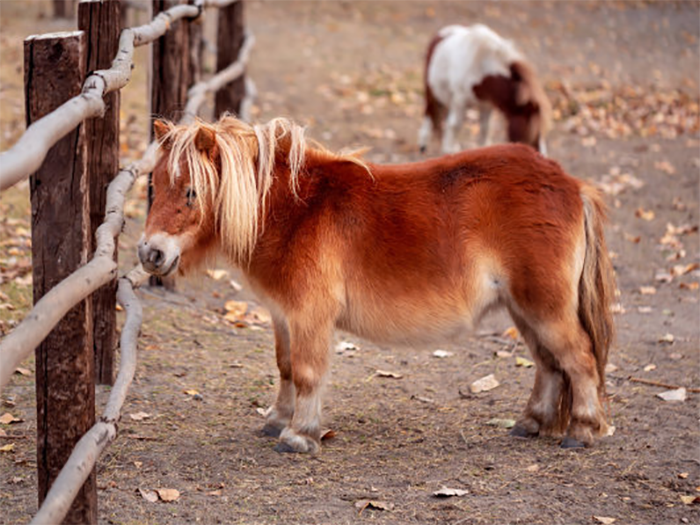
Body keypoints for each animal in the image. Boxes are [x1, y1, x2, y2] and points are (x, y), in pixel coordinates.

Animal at [139, 116, 616, 452]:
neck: (294, 211)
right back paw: (530, 423)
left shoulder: (310, 316)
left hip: (545, 307)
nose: (150, 254)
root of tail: (572, 184)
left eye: (191, 192)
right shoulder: (282, 316)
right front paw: (277, 420)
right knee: (549, 364)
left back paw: (582, 431)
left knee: (579, 359)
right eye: (154, 185)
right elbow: (286, 367)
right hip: (524, 309)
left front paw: (299, 435)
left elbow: (308, 372)